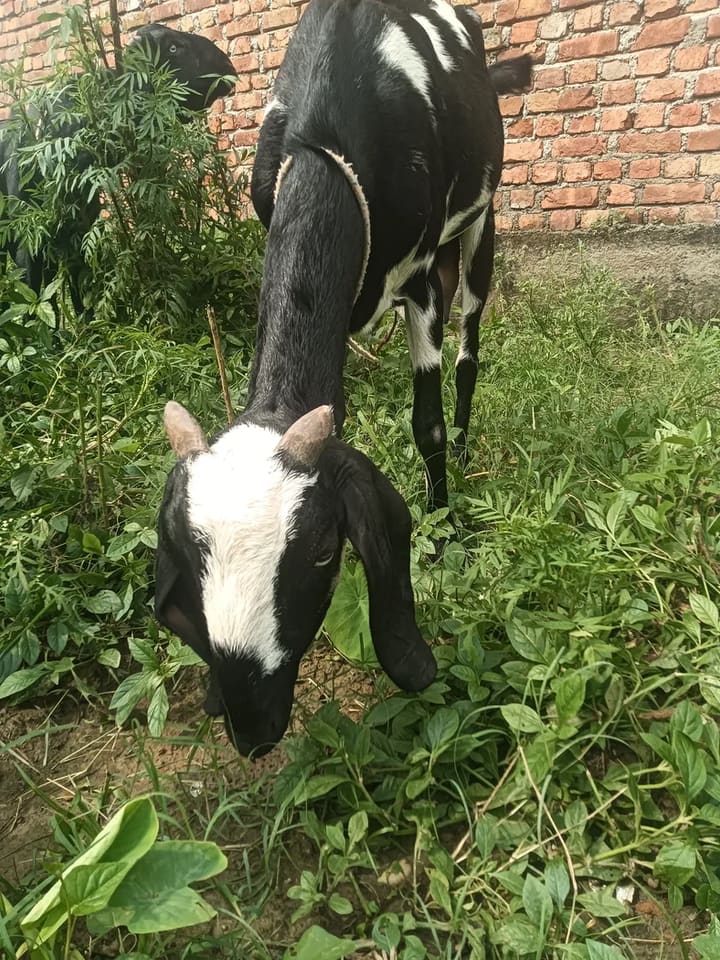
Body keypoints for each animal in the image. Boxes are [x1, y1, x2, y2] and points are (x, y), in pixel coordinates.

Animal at [0, 24, 236, 317]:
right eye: (173, 48)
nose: (227, 65)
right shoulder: (29, 234)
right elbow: (31, 294)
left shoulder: (78, 226)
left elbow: (76, 287)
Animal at [156, 0, 532, 757]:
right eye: (185, 554)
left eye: (325, 549)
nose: (253, 727)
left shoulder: (421, 279)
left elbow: (426, 423)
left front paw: (445, 527)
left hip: (479, 227)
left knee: (470, 351)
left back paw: (467, 453)